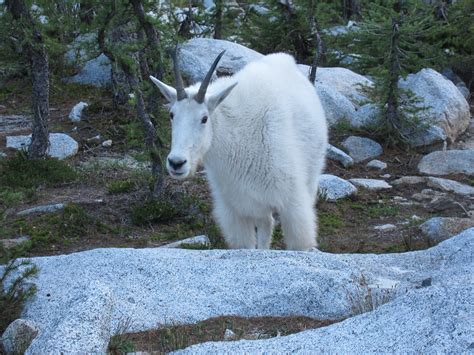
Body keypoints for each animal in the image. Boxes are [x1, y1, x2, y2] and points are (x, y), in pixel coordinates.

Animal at [150, 50, 328, 252]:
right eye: (172, 115)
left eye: (204, 118)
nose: (176, 163)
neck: (237, 138)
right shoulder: (236, 209)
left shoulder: (292, 203)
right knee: (266, 224)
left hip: (310, 178)